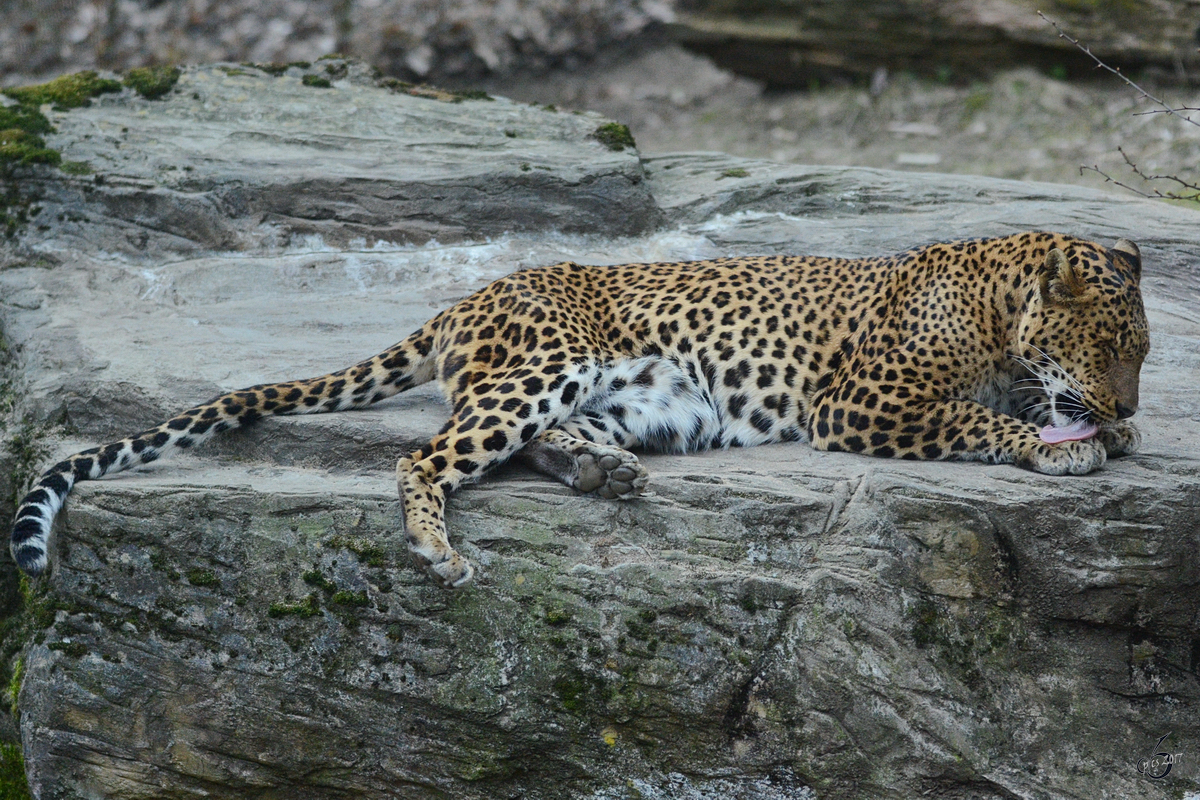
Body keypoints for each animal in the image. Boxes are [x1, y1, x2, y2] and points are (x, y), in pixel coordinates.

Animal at [11, 231, 1152, 587]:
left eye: (1141, 354)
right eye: (1108, 347)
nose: (1125, 404)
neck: (1002, 309)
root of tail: (469, 296)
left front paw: (1110, 431)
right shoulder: (863, 404)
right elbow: (979, 420)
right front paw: (1065, 445)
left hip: (649, 401)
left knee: (530, 447)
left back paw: (601, 472)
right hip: (541, 367)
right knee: (426, 455)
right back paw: (439, 550)